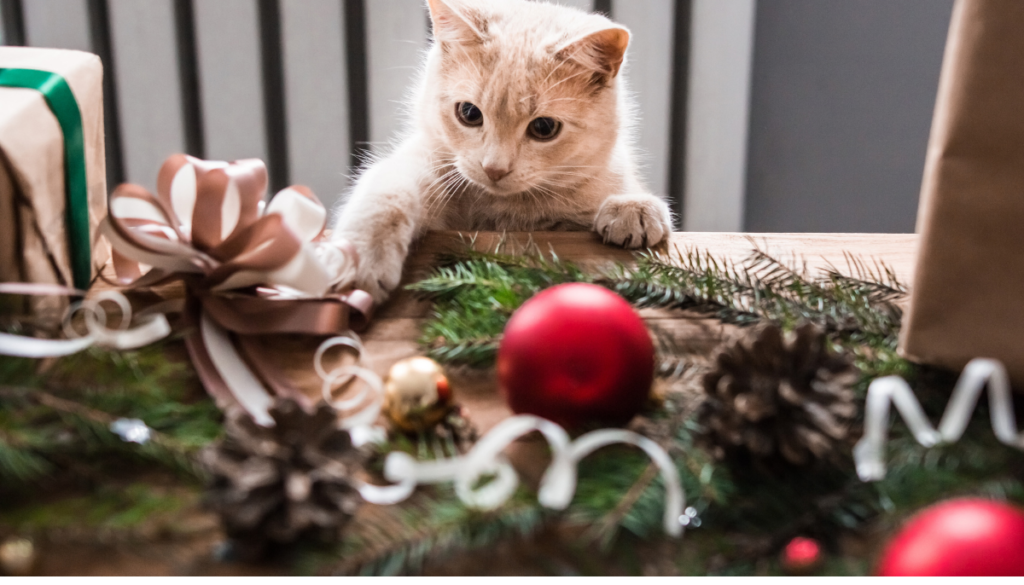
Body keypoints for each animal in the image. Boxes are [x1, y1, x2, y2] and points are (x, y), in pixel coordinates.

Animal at [331, 0, 675, 301]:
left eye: (544, 128)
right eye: (469, 113)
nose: (494, 168)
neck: (503, 210)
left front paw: (633, 207)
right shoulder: (422, 163)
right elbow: (387, 194)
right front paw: (363, 255)